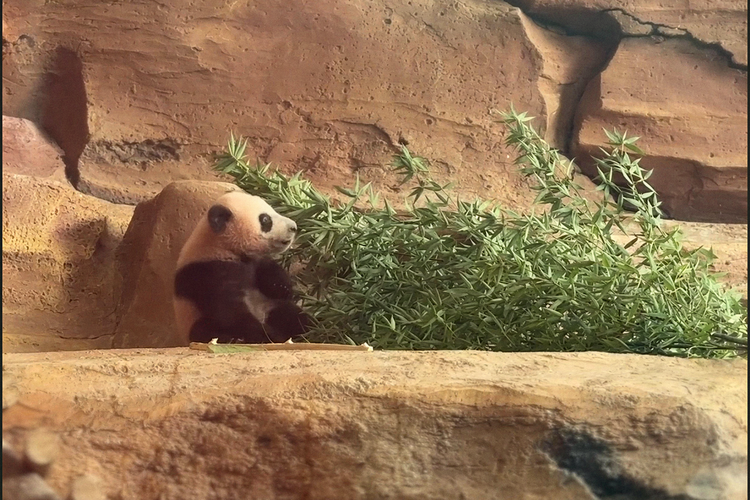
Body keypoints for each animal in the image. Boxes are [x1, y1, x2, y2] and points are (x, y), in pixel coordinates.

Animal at [173, 190, 309, 344]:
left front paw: (283, 287)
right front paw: (271, 336)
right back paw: (233, 339)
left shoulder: (253, 262)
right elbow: (230, 312)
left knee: (292, 315)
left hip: (269, 307)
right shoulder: (208, 272)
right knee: (202, 329)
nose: (293, 227)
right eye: (265, 219)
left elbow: (268, 270)